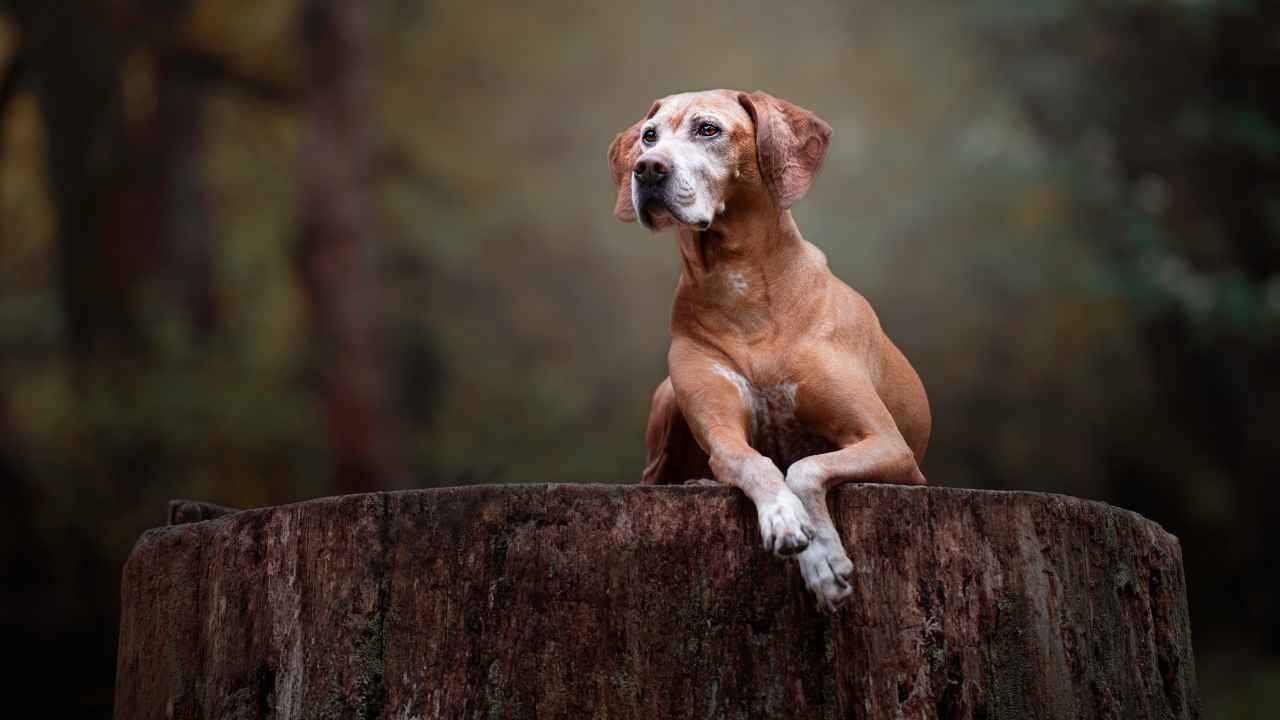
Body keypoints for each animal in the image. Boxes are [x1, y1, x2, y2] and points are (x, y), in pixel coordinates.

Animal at [609, 87, 931, 607]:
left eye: (708, 129)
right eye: (649, 136)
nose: (648, 168)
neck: (739, 283)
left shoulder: (890, 445)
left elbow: (802, 468)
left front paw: (824, 558)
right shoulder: (721, 430)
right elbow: (754, 463)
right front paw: (787, 522)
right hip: (667, 402)